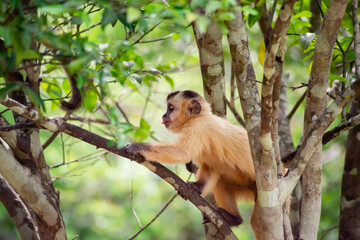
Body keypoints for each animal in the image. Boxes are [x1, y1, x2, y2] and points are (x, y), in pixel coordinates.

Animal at [126, 89, 258, 238]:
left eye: (170, 108)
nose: (164, 114)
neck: (198, 117)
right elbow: (209, 168)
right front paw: (196, 187)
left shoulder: (197, 127)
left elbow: (182, 152)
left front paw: (138, 147)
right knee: (221, 181)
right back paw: (233, 219)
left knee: (257, 222)